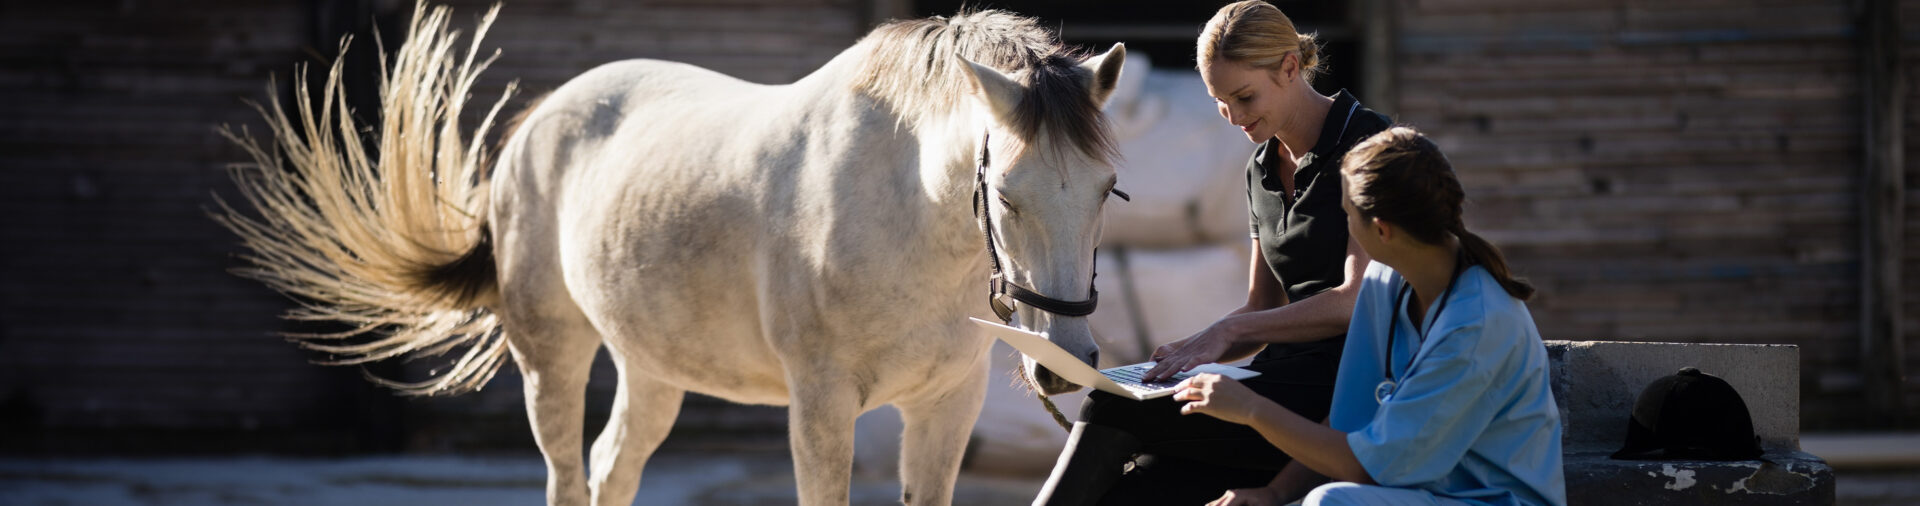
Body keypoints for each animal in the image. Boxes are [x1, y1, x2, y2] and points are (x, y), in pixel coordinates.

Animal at [214, 4, 1121, 506]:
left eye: (1108, 188)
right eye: (1007, 195)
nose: (1066, 363)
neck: (900, 208)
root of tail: (540, 120)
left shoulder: (945, 405)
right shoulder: (820, 406)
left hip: (651, 368)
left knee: (612, 469)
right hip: (551, 358)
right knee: (568, 475)